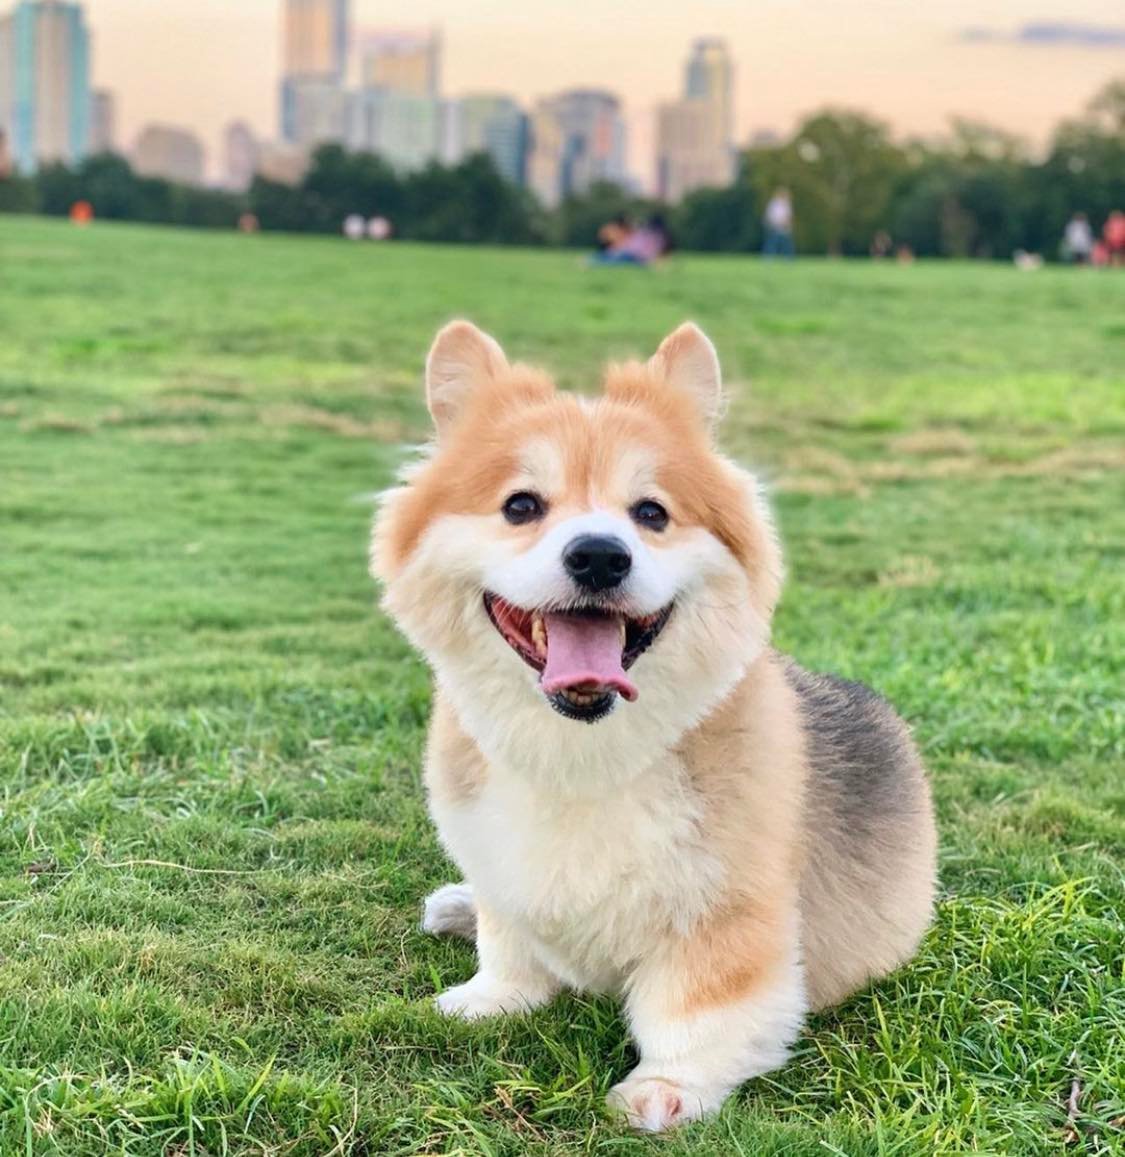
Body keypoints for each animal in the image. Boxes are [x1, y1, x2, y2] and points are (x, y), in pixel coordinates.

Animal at [370, 321, 939, 1133]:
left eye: (650, 513)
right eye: (520, 505)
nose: (598, 555)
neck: (581, 753)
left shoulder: (727, 913)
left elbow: (701, 1009)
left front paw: (667, 1084)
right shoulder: (504, 865)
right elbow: (510, 939)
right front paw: (492, 996)